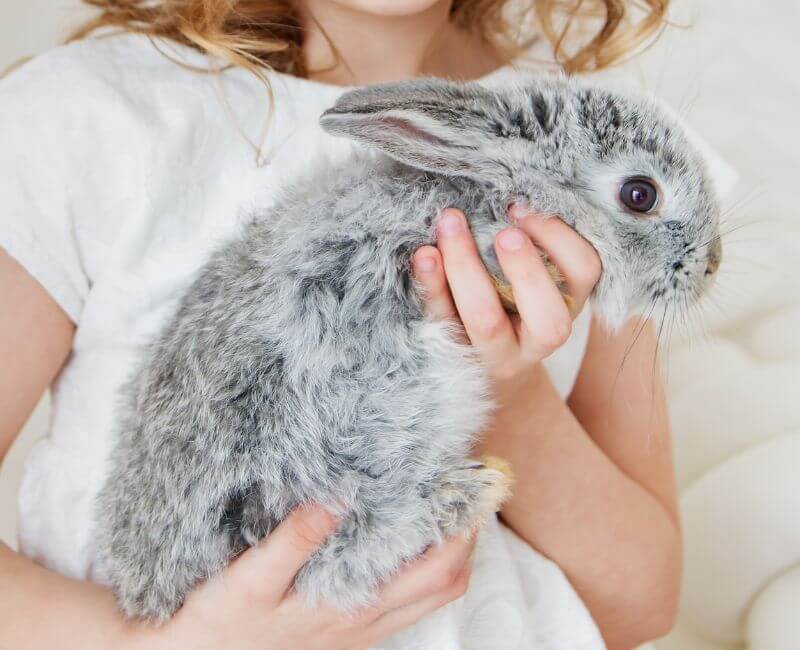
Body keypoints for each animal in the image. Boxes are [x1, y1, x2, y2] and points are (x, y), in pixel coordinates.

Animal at [97, 73, 720, 620]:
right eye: (640, 194)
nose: (711, 266)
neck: (488, 189)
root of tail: (151, 594)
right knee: (340, 560)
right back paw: (474, 488)